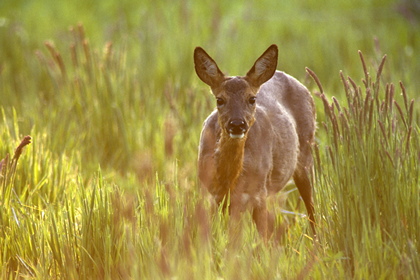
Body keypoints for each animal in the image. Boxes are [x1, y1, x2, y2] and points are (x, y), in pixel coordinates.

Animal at [194, 44, 316, 240]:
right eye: (219, 99)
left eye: (252, 99)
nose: (237, 124)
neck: (231, 180)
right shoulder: (215, 196)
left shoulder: (258, 194)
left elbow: (262, 239)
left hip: (305, 154)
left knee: (311, 205)